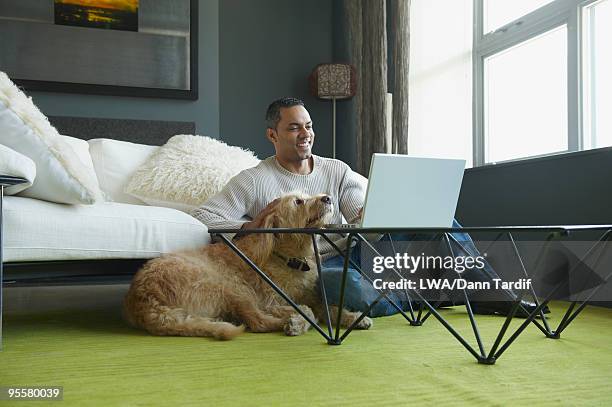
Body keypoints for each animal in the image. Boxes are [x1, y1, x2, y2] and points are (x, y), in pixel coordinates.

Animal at [123, 193, 372, 340]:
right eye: (298, 201)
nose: (328, 198)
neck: (289, 257)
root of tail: (145, 302)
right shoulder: (271, 301)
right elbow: (309, 310)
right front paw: (297, 321)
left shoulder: (311, 295)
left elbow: (329, 306)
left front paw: (352, 317)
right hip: (231, 287)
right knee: (256, 322)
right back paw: (287, 323)